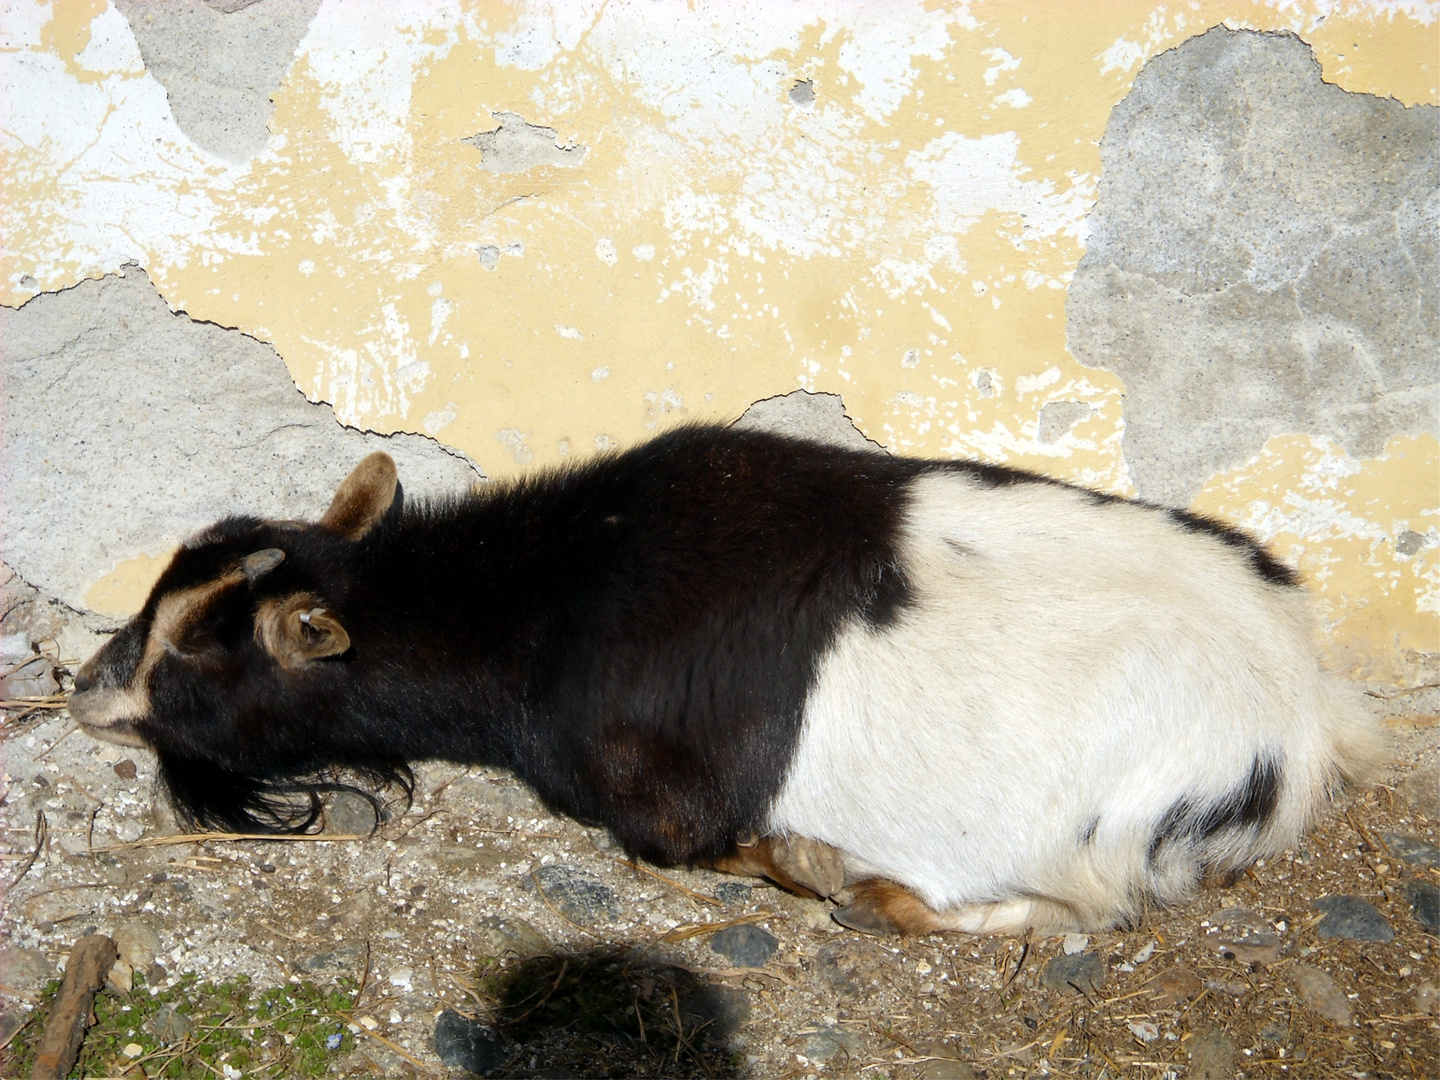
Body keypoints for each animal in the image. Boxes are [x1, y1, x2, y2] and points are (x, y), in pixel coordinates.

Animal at [70, 426, 1382, 933]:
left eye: (194, 660)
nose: (86, 690)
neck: (557, 599)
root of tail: (1302, 719)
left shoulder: (660, 801)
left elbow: (687, 844)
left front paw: (803, 866)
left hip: (1104, 835)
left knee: (1084, 907)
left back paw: (884, 894)